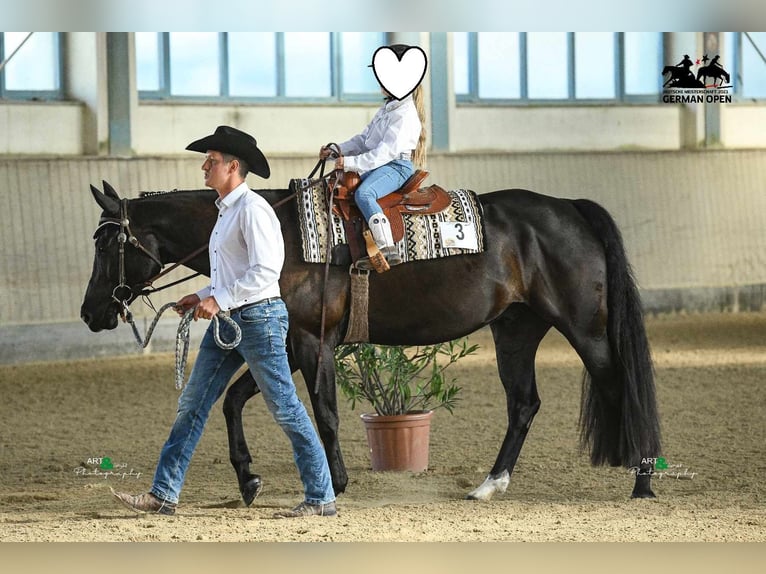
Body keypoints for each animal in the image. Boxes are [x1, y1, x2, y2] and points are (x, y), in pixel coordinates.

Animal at [81, 182, 664, 506]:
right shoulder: (287, 343)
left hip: (586, 331)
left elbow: (322, 411)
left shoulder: (311, 342)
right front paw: (249, 480)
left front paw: (334, 483)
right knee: (524, 404)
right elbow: (235, 400)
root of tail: (570, 206)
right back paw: (488, 486)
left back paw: (643, 481)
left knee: (621, 387)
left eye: (107, 244)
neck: (280, 234)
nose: (91, 313)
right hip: (516, 330)